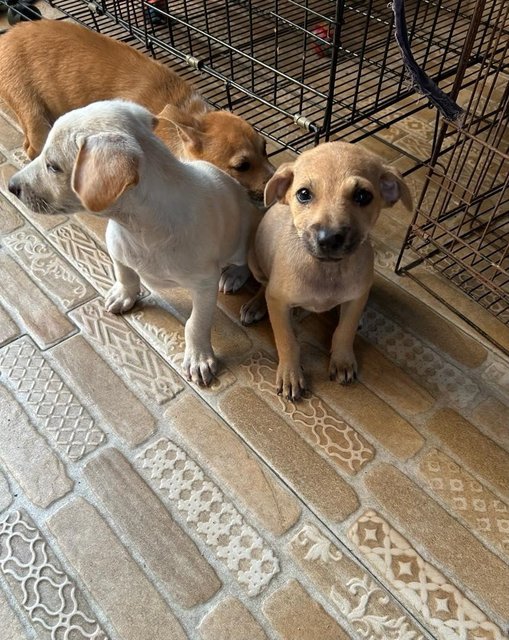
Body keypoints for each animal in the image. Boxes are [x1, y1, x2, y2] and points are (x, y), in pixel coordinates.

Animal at [0, 18, 274, 200]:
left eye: (265, 149)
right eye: (241, 166)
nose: (275, 181)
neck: (189, 115)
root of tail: (6, 35)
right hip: (34, 114)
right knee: (34, 148)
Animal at [239, 142, 412, 400]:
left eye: (363, 196)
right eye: (303, 194)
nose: (329, 239)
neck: (326, 270)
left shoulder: (358, 295)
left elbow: (344, 330)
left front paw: (342, 359)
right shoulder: (279, 303)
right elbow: (287, 340)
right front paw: (290, 374)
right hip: (255, 262)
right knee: (264, 286)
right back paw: (256, 304)